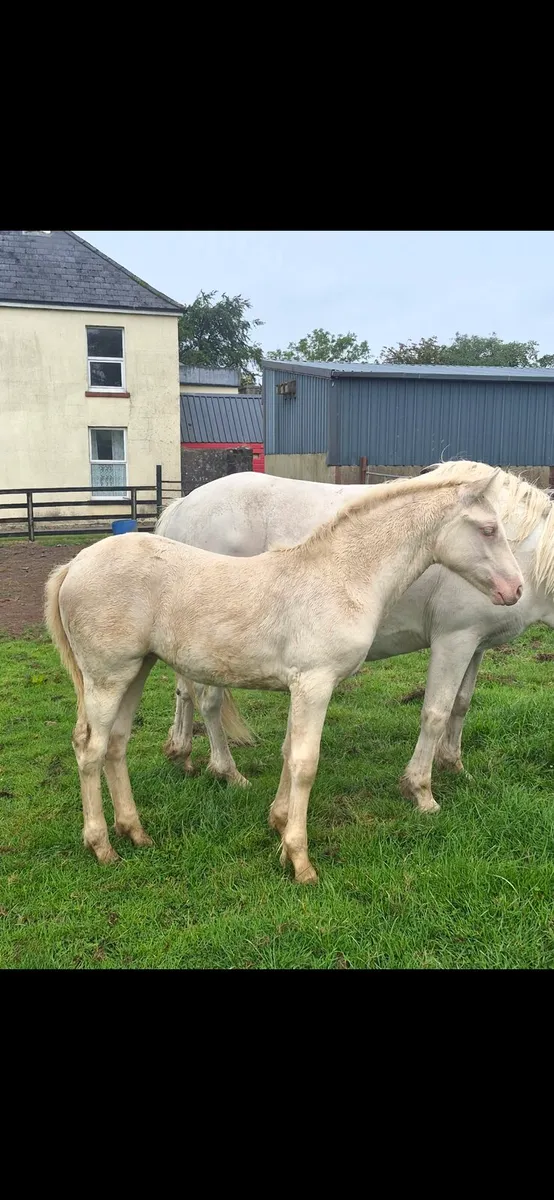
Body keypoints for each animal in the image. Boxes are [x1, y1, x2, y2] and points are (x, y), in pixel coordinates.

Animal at [157, 462, 554, 813]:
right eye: (489, 530)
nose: (513, 588)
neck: (528, 553)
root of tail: (180, 507)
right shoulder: (454, 640)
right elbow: (435, 713)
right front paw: (420, 790)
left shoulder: (476, 645)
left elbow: (461, 704)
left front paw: (454, 766)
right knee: (207, 701)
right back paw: (226, 770)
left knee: (185, 692)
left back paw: (182, 754)